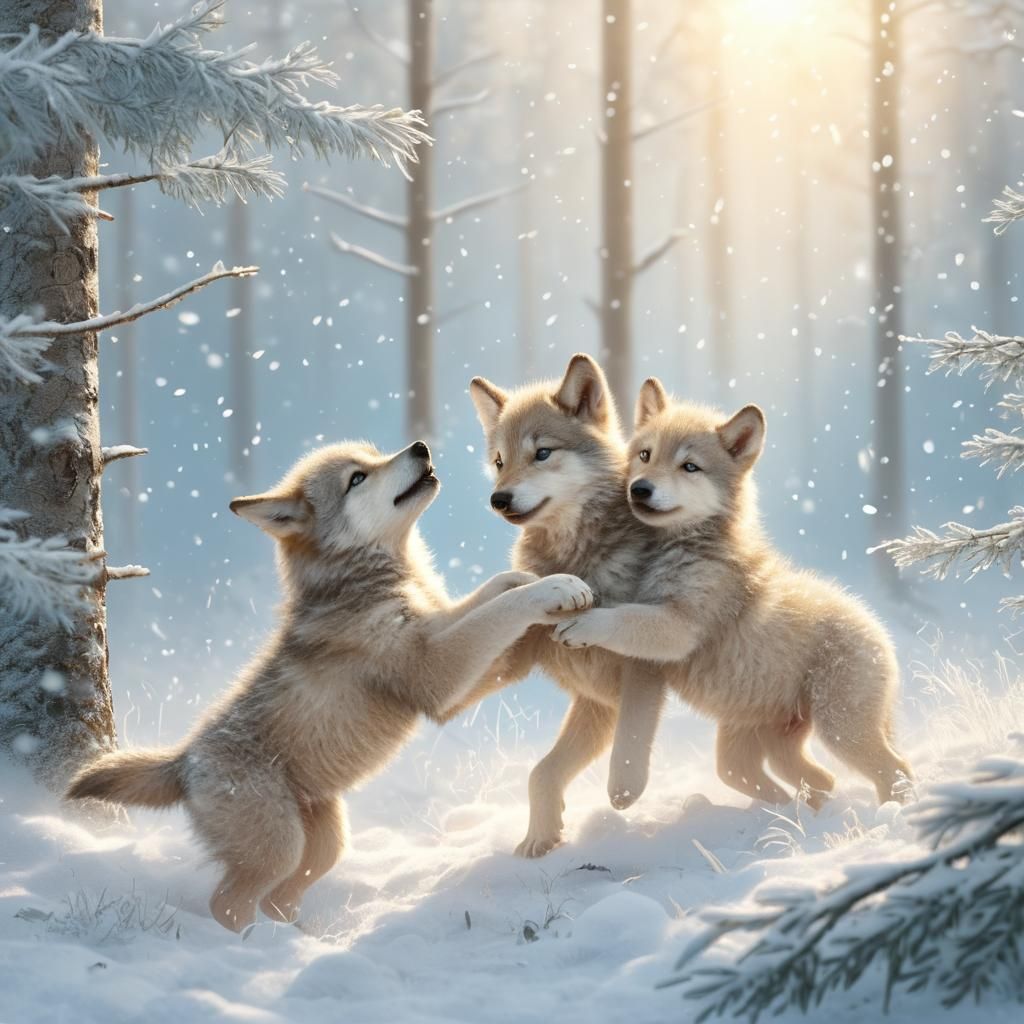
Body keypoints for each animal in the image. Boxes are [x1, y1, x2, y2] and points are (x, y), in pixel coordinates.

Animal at [66, 440, 593, 931]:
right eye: (357, 479)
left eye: (375, 456)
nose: (420, 446)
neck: (368, 579)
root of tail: (184, 759)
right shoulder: (435, 674)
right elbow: (501, 610)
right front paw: (554, 587)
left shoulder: (438, 636)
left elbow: (494, 591)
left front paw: (529, 576)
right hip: (280, 848)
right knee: (229, 904)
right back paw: (257, 945)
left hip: (325, 844)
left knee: (281, 897)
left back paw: (302, 935)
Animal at [468, 354, 670, 857]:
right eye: (499, 462)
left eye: (542, 453)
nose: (498, 498)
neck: (579, 558)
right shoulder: (590, 697)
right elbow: (541, 773)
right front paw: (541, 837)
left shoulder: (632, 676)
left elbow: (630, 739)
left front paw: (624, 790)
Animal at [551, 377, 913, 809]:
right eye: (645, 454)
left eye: (689, 466)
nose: (639, 489)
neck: (686, 547)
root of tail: (879, 629)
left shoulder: (681, 627)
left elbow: (622, 616)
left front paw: (581, 623)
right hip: (754, 734)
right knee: (791, 775)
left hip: (840, 731)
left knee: (894, 770)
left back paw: (891, 813)